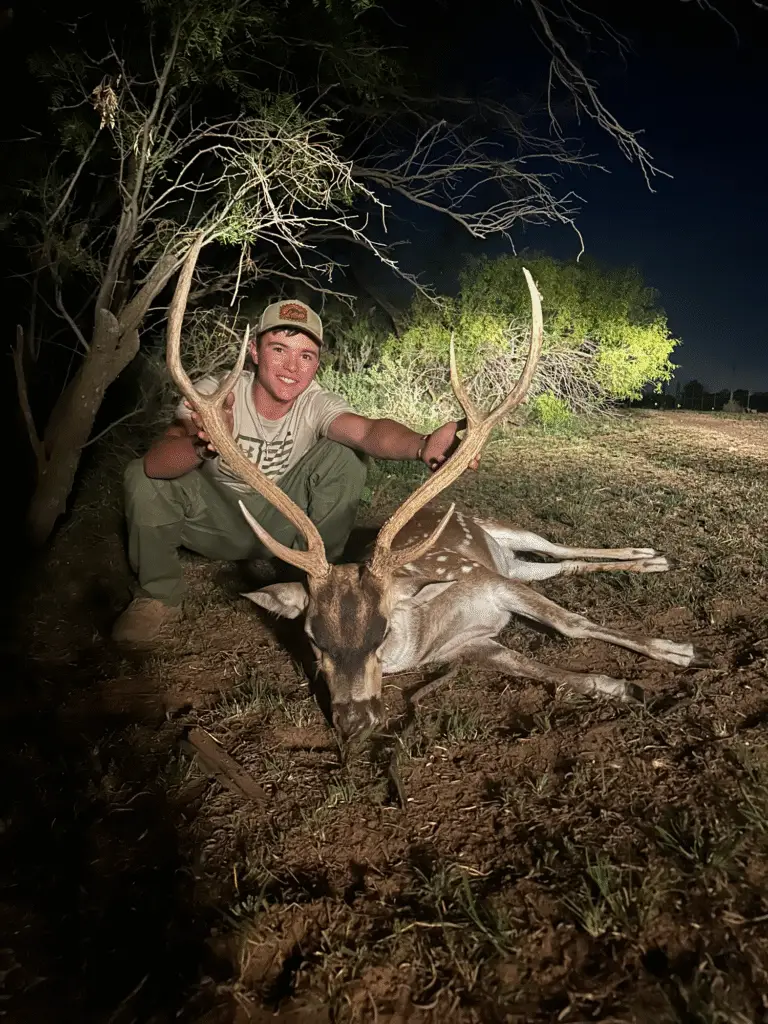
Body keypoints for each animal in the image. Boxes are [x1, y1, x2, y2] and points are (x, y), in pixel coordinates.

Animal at [166, 238, 709, 745]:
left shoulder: (489, 581)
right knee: (558, 565)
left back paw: (648, 555)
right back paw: (649, 559)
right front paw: (621, 686)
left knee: (556, 546)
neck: (427, 633)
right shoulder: (475, 643)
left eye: (382, 632)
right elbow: (545, 670)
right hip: (517, 566)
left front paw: (677, 650)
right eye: (312, 637)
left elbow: (571, 623)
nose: (355, 721)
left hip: (504, 537)